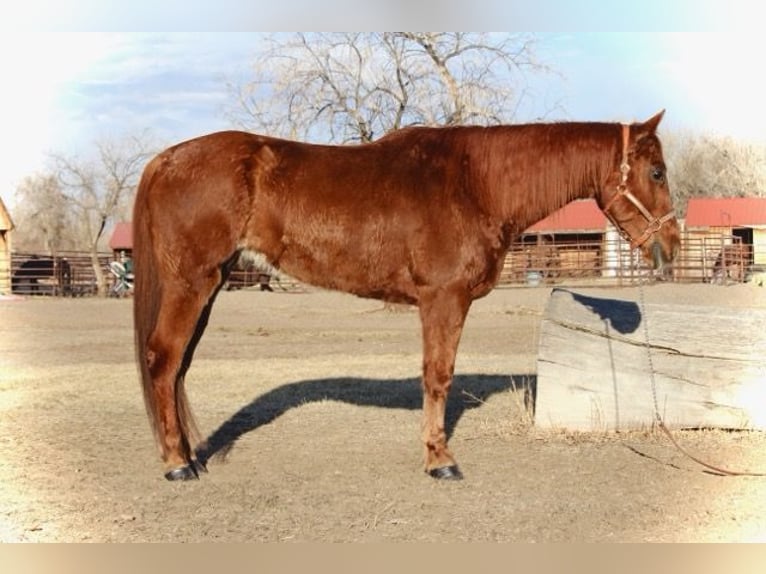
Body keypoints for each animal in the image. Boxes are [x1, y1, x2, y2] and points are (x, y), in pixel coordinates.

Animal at [135, 110, 680, 484]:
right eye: (656, 172)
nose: (672, 246)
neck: (476, 183)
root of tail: (165, 160)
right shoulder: (444, 299)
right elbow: (438, 377)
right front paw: (441, 461)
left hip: (210, 284)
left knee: (178, 368)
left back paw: (188, 455)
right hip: (192, 282)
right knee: (164, 361)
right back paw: (177, 464)